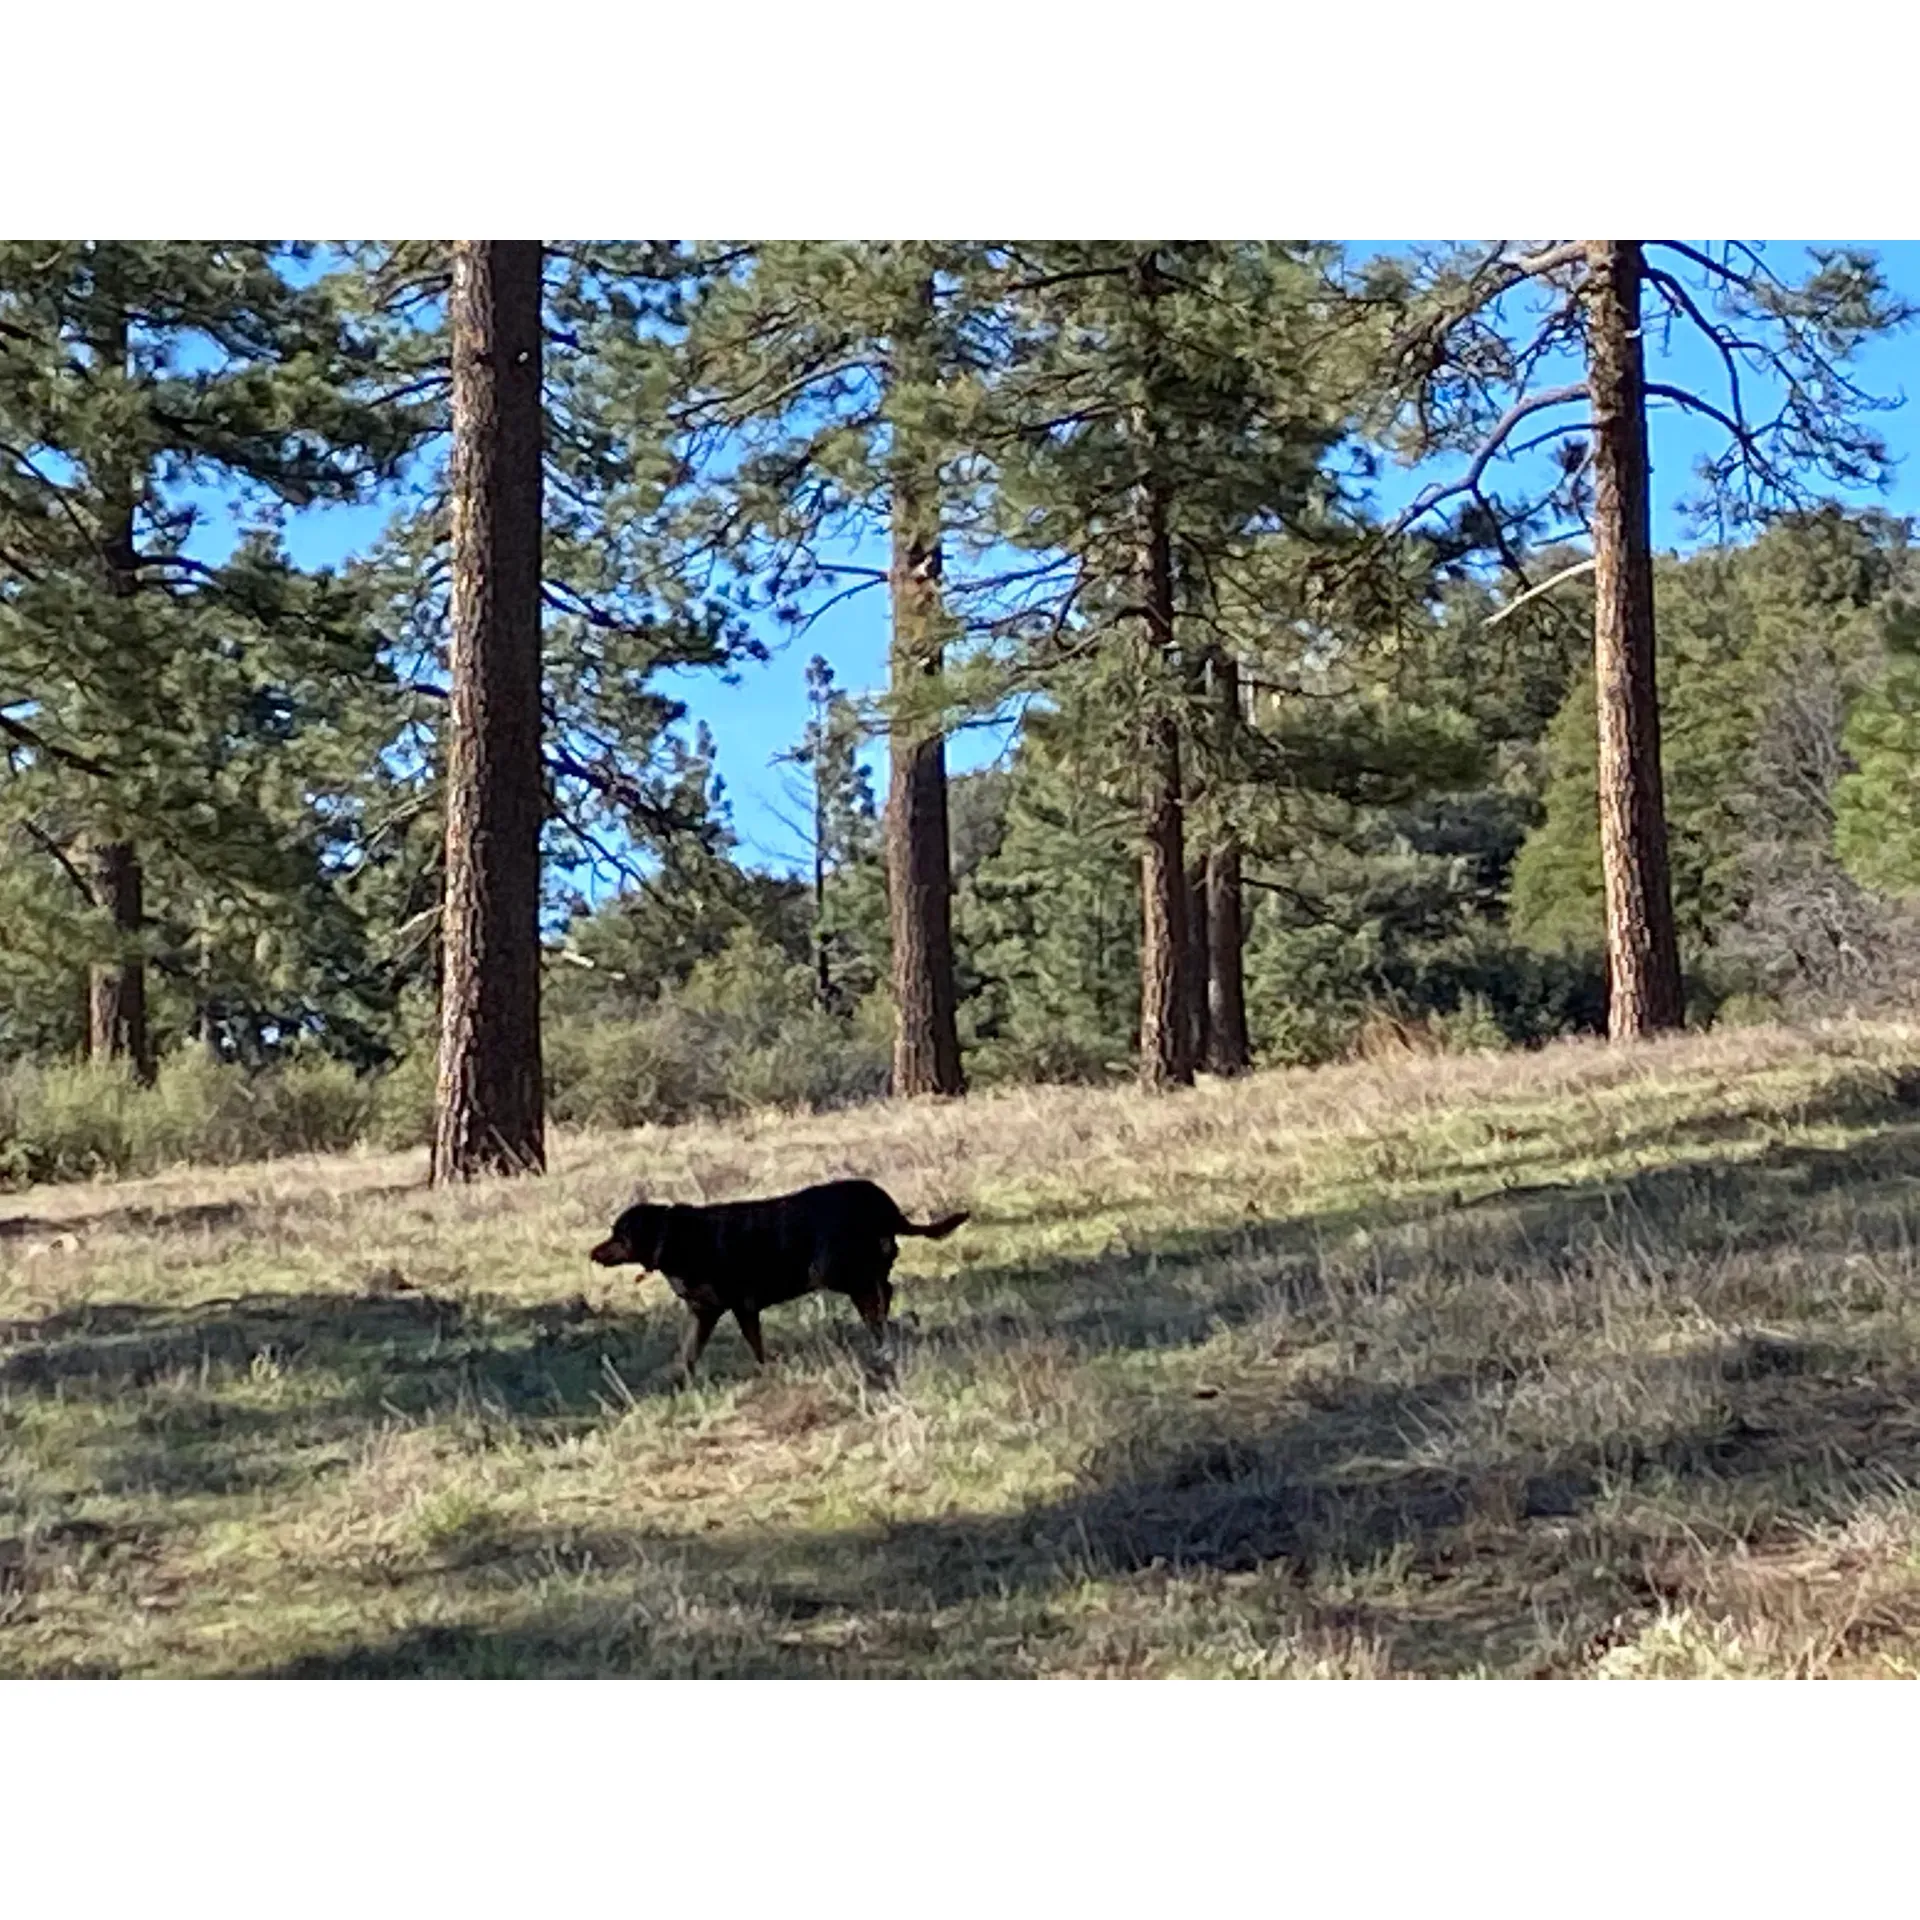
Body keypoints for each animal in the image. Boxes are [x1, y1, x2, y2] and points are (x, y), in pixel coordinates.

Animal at [583, 1175, 967, 1390]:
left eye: (618, 1235)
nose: (592, 1252)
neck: (671, 1239)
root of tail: (883, 1203)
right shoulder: (704, 1311)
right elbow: (690, 1350)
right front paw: (683, 1377)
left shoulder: (737, 1307)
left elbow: (753, 1345)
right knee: (881, 1291)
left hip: (835, 1269)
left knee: (880, 1292)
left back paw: (882, 1337)